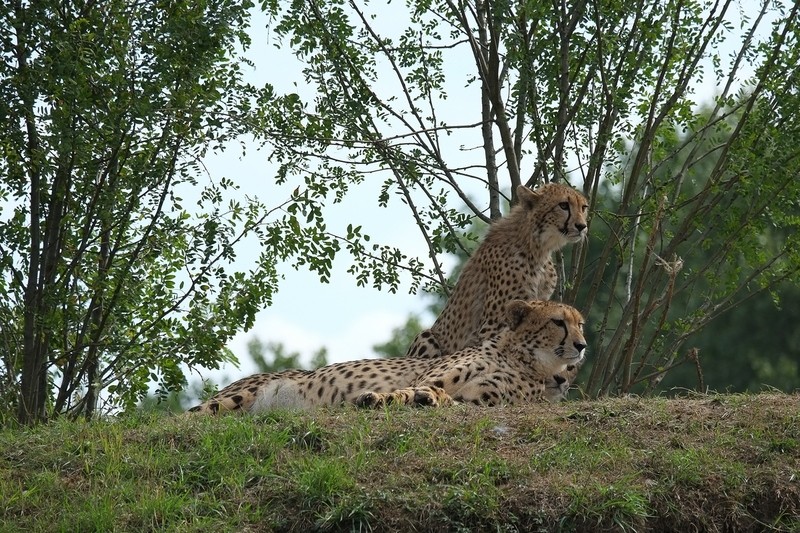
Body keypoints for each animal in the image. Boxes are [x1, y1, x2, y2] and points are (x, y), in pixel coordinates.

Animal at [188, 300, 588, 412]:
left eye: (581, 324)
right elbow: (410, 389)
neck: (525, 361)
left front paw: (427, 400)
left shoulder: (480, 402)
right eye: (558, 322)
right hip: (238, 397)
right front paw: (378, 398)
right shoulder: (428, 376)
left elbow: (445, 398)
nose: (583, 346)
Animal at [406, 183, 588, 400]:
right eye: (563, 205)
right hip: (427, 336)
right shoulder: (493, 323)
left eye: (584, 207)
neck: (537, 247)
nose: (582, 226)